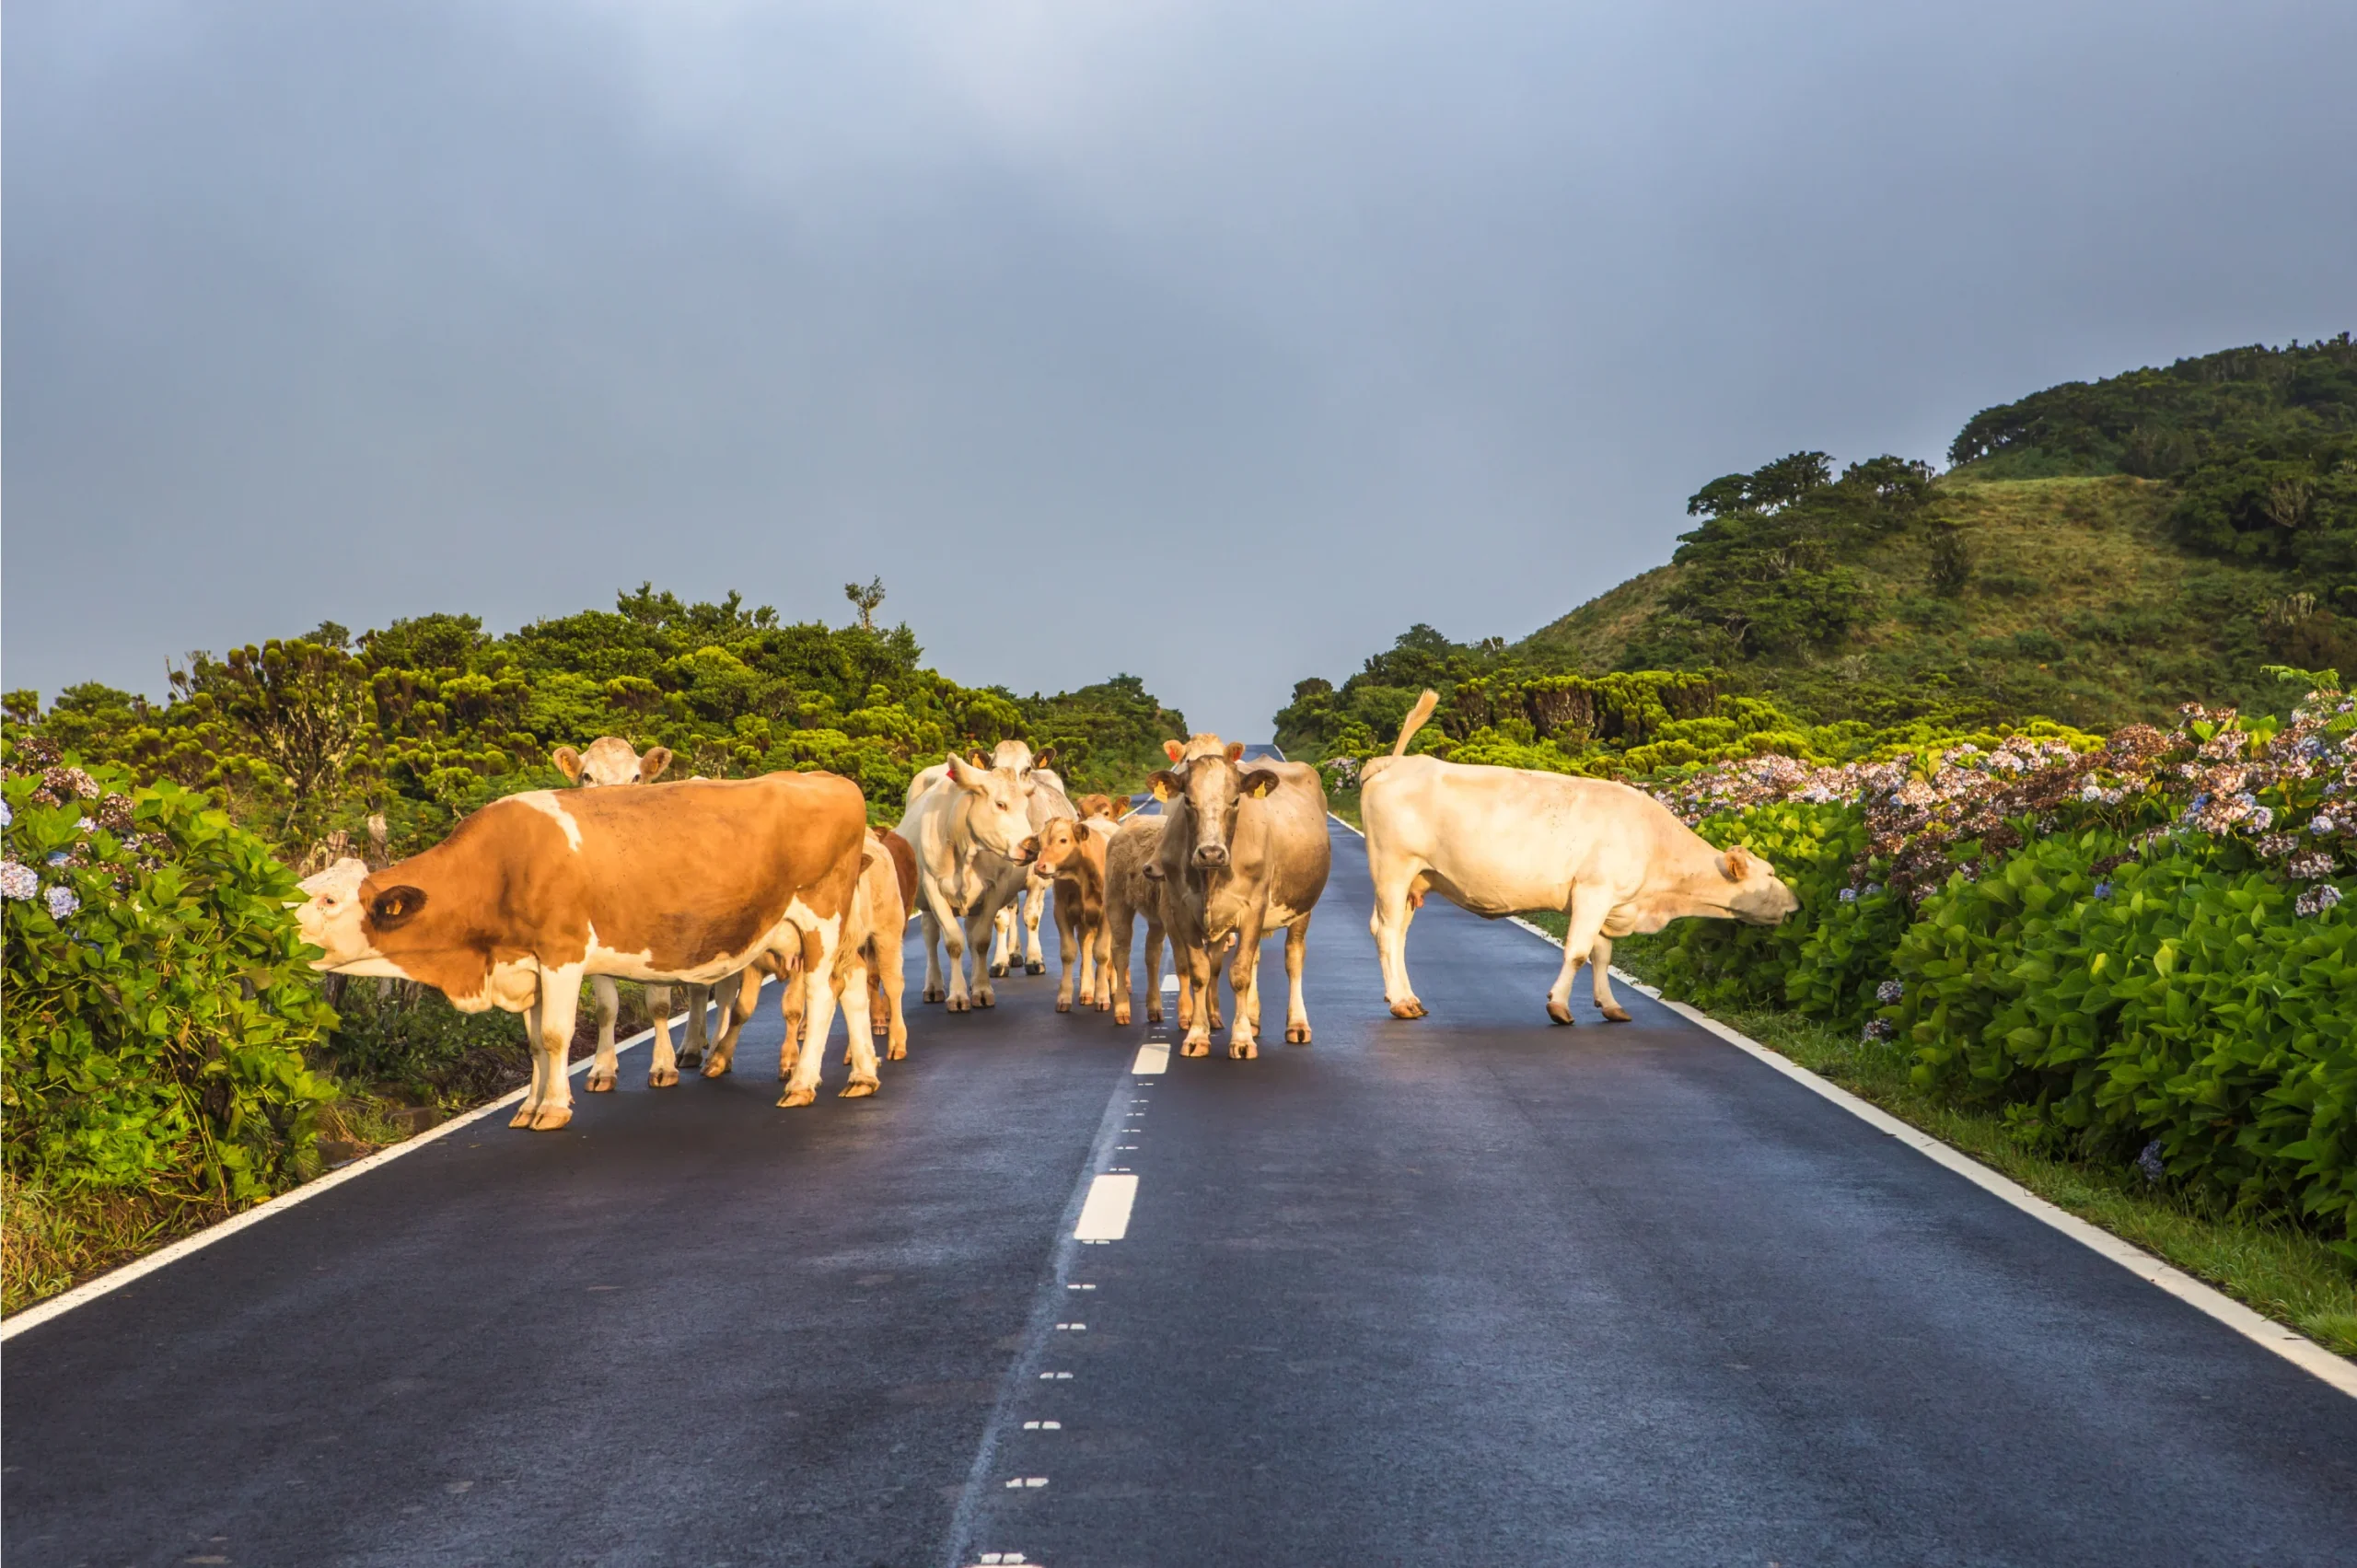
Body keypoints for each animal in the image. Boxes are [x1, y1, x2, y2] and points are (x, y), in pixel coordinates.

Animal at [299, 772, 872, 1127]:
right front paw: (528, 1108)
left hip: (821, 921)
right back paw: (862, 1075)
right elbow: (533, 1043)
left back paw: (802, 1083)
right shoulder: (523, 964)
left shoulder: (561, 954)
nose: (284, 932)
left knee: (821, 995)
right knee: (852, 984)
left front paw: (553, 1109)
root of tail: (829, 779)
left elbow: (556, 1035)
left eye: (329, 899)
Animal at [1150, 736, 1339, 1056]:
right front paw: (1198, 1036)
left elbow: (1238, 974)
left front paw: (1240, 1040)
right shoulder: (1182, 909)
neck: (1211, 877)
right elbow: (1201, 971)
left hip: (1302, 908)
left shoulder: (1253, 908)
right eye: (1188, 801)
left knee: (1293, 958)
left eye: (1235, 801)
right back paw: (1252, 1020)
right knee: (1255, 960)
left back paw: (1297, 1024)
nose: (1211, 853)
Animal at [1357, 692, 1791, 1023]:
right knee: (1387, 931)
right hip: (1393, 869)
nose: (1796, 903)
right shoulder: (1593, 891)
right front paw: (1559, 1007)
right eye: (1771, 873)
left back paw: (1407, 997)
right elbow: (1579, 952)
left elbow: (1602, 954)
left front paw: (1611, 1005)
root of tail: (1395, 762)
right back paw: (1401, 1003)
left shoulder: (1610, 901)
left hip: (1418, 878)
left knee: (1399, 933)